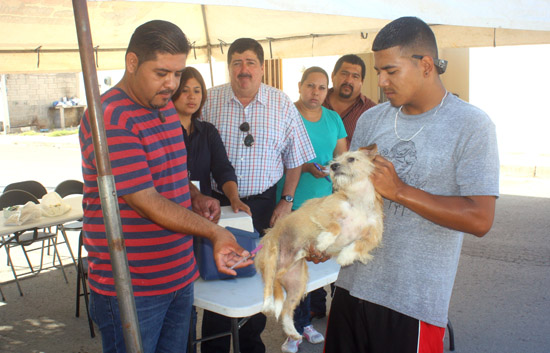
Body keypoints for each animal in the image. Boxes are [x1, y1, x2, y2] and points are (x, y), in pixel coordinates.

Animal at [256, 145, 382, 338]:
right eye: (336, 159)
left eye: (351, 159)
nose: (333, 166)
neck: (357, 200)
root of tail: (281, 268)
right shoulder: (321, 212)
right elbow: (335, 227)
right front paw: (323, 242)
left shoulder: (373, 235)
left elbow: (359, 246)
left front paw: (345, 257)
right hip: (271, 257)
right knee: (268, 286)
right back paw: (268, 305)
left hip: (297, 284)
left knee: (286, 309)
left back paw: (292, 331)